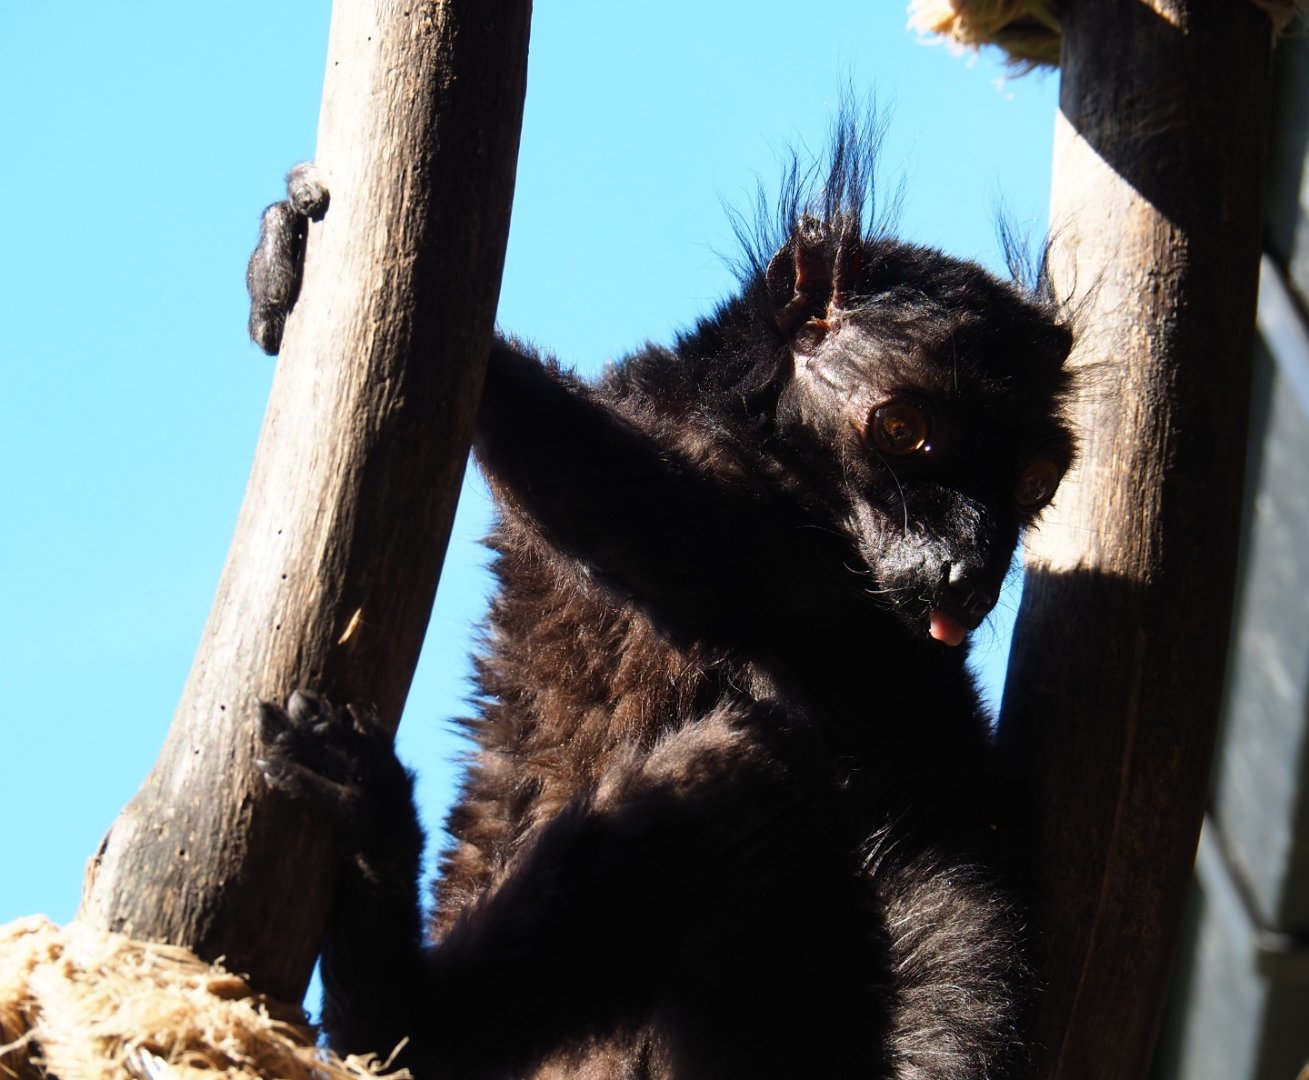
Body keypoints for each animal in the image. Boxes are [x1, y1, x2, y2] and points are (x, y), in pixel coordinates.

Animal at [253, 117, 1075, 1079]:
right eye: (904, 430)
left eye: (1032, 482)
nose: (967, 567)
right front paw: (288, 267)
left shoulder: (841, 611)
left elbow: (698, 552)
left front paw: (464, 349)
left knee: (758, 747)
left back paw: (388, 968)